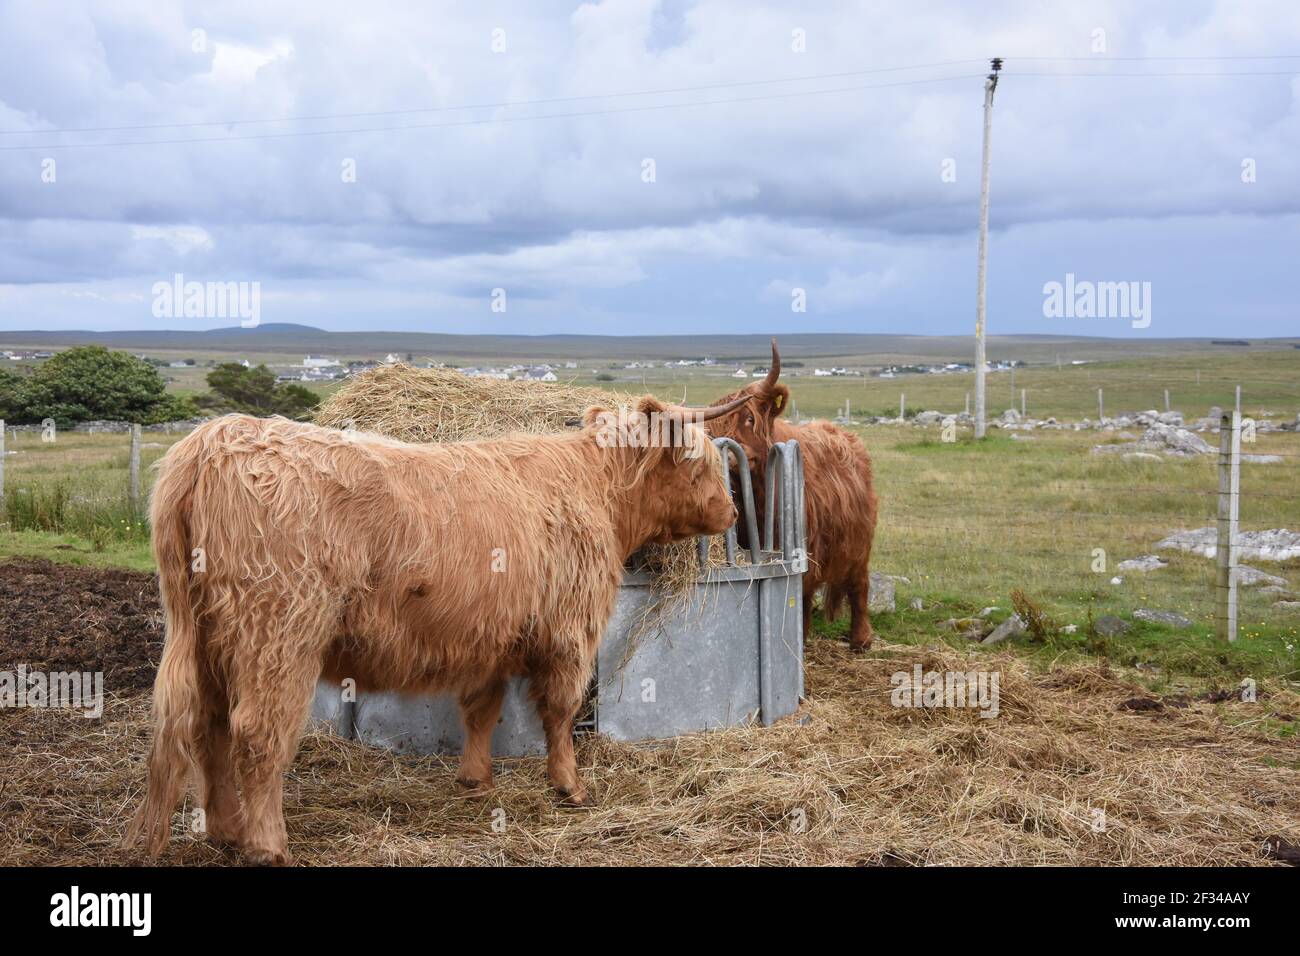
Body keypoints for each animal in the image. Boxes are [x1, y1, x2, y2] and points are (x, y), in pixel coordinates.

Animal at [129, 395, 754, 868]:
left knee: (207, 725)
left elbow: (481, 709)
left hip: (206, 635)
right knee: (256, 732)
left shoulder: (491, 636)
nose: (731, 513)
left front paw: (476, 780)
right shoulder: (568, 630)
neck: (595, 491)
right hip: (278, 632)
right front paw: (569, 787)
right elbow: (560, 711)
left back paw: (224, 830)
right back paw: (267, 845)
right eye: (701, 463)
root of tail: (215, 438)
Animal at [707, 343, 878, 650]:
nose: (730, 457)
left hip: (859, 542)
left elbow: (800, 593)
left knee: (859, 585)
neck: (761, 499)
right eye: (715, 430)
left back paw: (861, 640)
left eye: (749, 418)